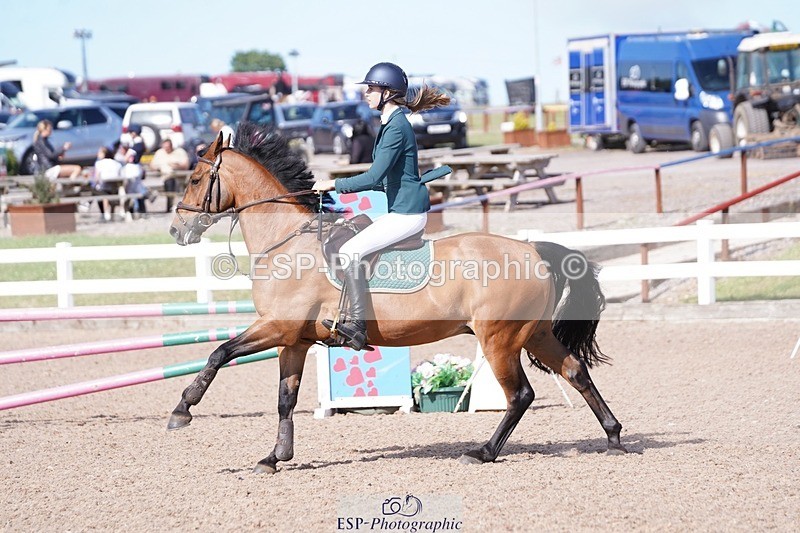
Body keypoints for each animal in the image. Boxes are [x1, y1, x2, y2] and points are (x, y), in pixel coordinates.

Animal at [167, 122, 626, 474]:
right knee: (575, 371)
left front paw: (182, 411)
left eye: (194, 180)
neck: (287, 242)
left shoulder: (276, 327)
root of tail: (532, 249)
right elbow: (284, 400)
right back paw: (614, 437)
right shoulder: (293, 340)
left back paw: (482, 452)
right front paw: (274, 457)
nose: (176, 231)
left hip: (499, 339)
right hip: (534, 334)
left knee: (520, 396)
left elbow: (219, 354)